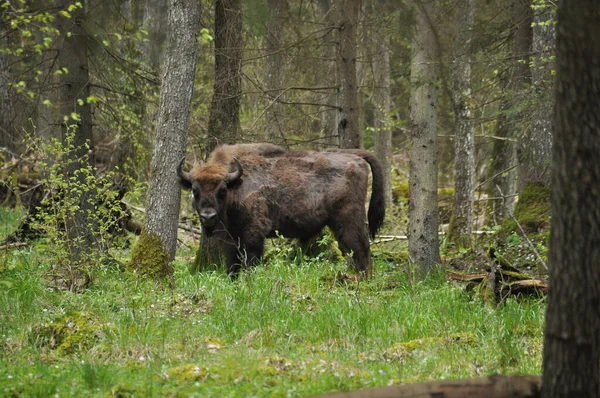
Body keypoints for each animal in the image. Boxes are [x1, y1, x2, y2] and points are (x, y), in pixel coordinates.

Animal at [178, 143, 384, 276]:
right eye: (195, 190)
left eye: (222, 190)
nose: (208, 216)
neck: (237, 185)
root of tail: (355, 157)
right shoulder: (231, 239)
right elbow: (232, 264)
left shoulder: (254, 234)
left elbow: (251, 260)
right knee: (349, 250)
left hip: (348, 218)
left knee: (360, 249)